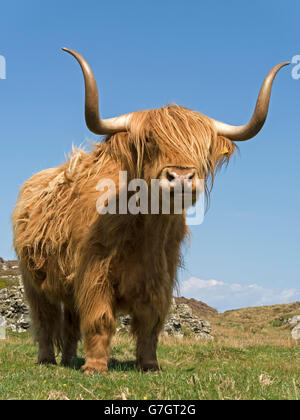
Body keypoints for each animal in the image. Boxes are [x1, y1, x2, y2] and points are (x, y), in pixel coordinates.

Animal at [12, 49, 288, 374]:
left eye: (203, 147)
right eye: (149, 141)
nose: (180, 177)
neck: (145, 227)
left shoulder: (161, 276)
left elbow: (150, 323)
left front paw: (149, 364)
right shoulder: (93, 271)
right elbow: (99, 319)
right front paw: (95, 367)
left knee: (69, 323)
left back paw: (69, 359)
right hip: (33, 281)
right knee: (44, 320)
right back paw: (47, 359)